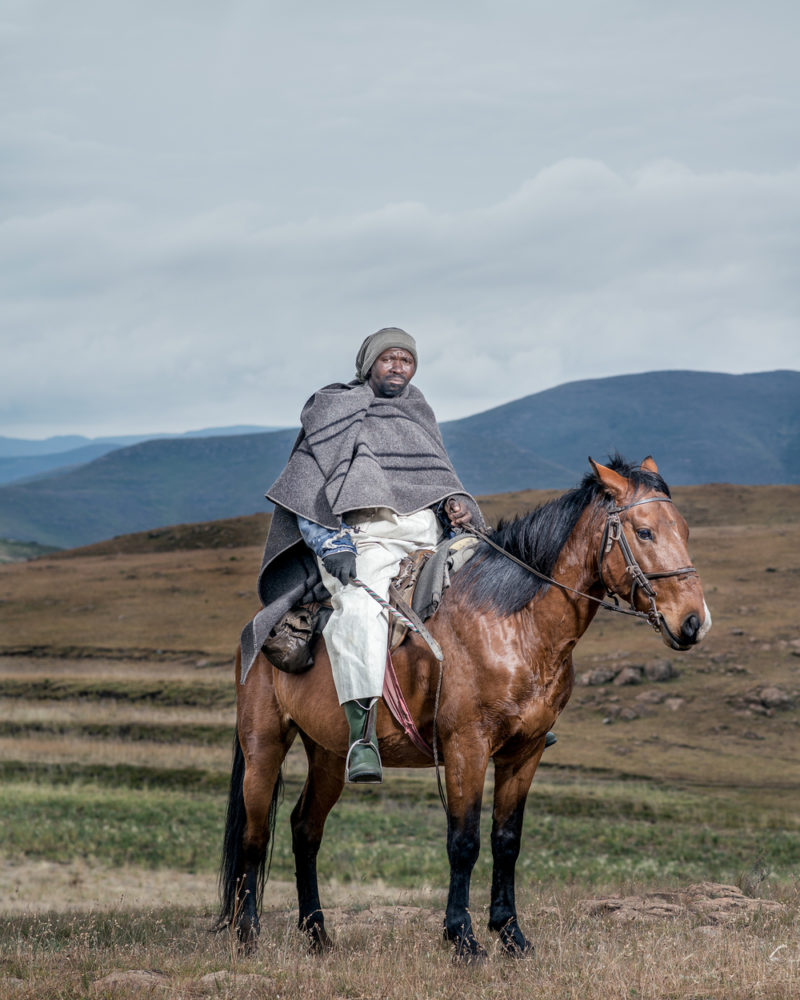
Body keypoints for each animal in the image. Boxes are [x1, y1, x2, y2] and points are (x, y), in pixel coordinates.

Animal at [216, 456, 708, 960]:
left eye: (685, 529)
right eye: (644, 532)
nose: (693, 623)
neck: (512, 622)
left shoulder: (525, 751)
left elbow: (506, 840)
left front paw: (511, 933)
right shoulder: (466, 746)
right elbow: (464, 841)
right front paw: (463, 938)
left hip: (330, 754)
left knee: (305, 830)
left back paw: (317, 934)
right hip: (264, 744)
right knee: (254, 835)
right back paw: (247, 934)